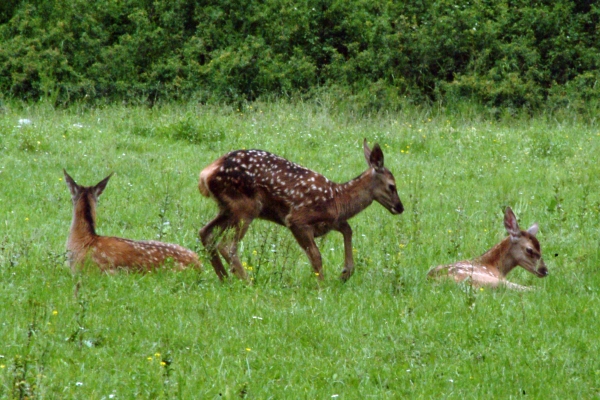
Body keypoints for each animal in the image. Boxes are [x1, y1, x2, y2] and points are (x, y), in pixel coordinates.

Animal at [198, 140, 404, 282]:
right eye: (392, 186)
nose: (400, 207)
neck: (337, 200)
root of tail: (206, 173)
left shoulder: (330, 222)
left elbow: (347, 229)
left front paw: (345, 272)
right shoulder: (297, 219)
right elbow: (316, 256)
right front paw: (322, 287)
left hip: (227, 208)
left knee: (205, 232)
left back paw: (225, 279)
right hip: (246, 208)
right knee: (226, 245)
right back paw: (248, 283)